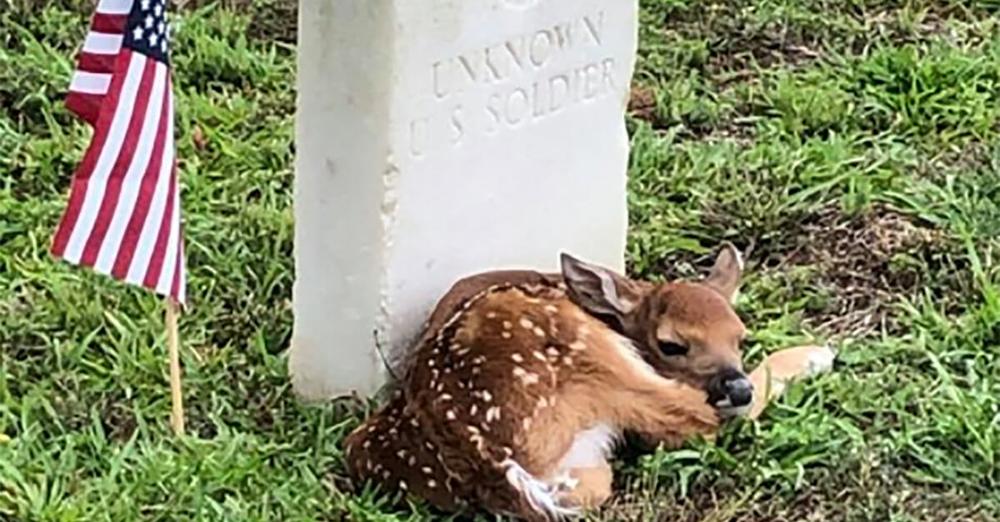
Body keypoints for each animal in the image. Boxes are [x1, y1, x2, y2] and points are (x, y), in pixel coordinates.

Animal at [343, 243, 835, 521]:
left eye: (739, 336)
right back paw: (813, 356)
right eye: (672, 344)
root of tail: (484, 456)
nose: (736, 386)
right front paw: (816, 354)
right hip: (595, 358)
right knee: (696, 421)